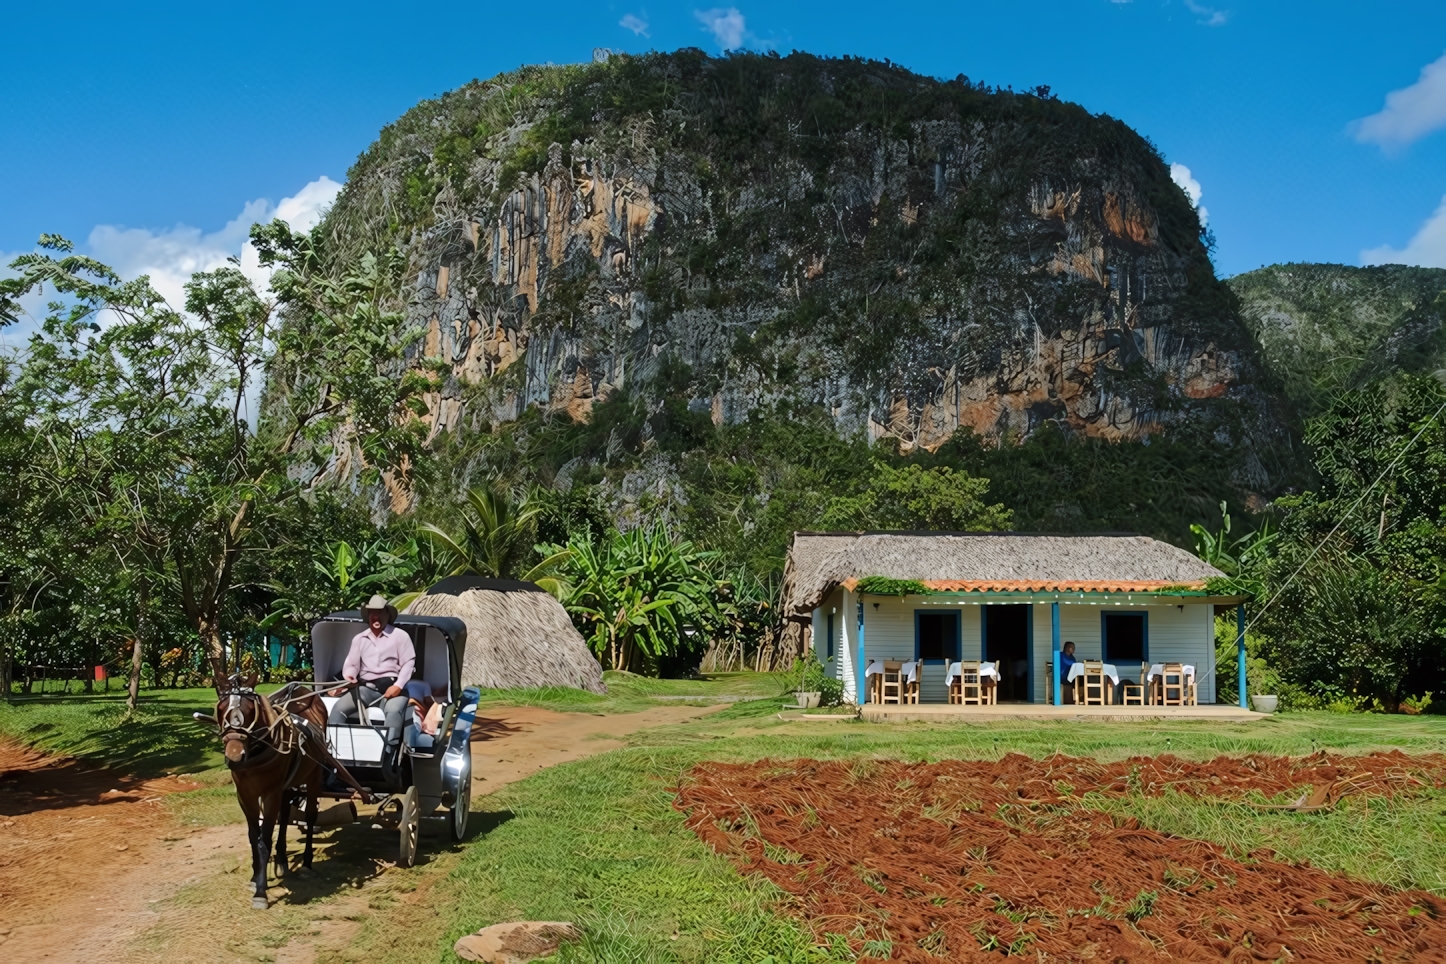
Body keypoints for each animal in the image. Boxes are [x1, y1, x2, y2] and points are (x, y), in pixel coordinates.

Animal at [208, 676, 370, 907]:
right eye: (221, 708)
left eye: (251, 709)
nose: (235, 754)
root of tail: (302, 689)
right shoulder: (245, 795)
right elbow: (253, 836)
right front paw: (255, 877)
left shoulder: (271, 793)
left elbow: (264, 840)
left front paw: (261, 892)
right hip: (287, 785)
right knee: (285, 816)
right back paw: (282, 860)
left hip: (313, 776)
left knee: (310, 817)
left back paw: (307, 864)